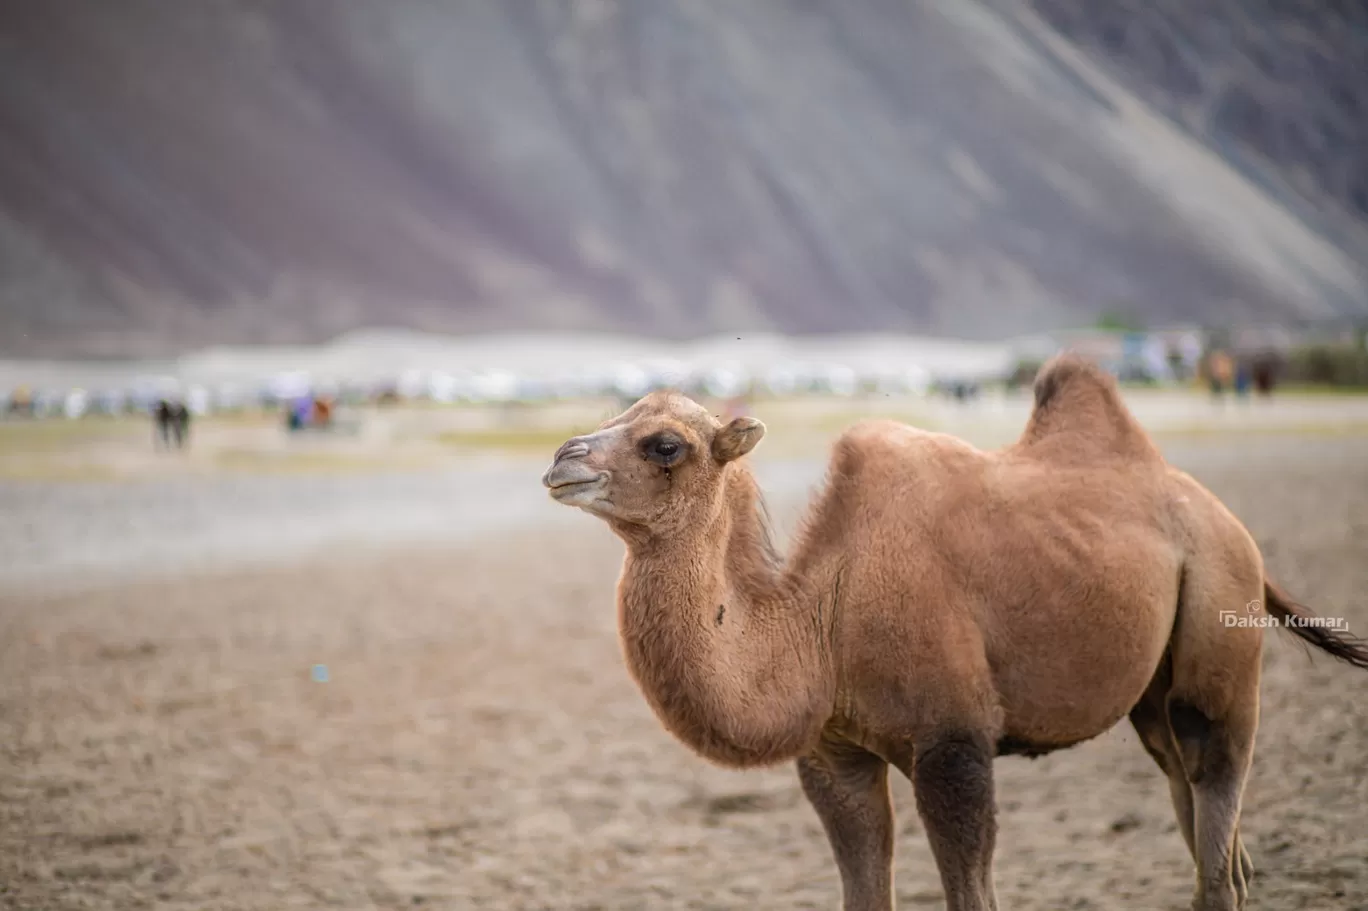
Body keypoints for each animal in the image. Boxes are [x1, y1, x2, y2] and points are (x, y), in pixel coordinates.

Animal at [538, 352, 1362, 908]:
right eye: (612, 416)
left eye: (665, 444)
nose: (560, 458)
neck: (823, 619)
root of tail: (1222, 516)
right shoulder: (834, 755)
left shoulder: (953, 743)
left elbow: (972, 887)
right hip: (1153, 683)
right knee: (1185, 787)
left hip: (1220, 611)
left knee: (1214, 763)